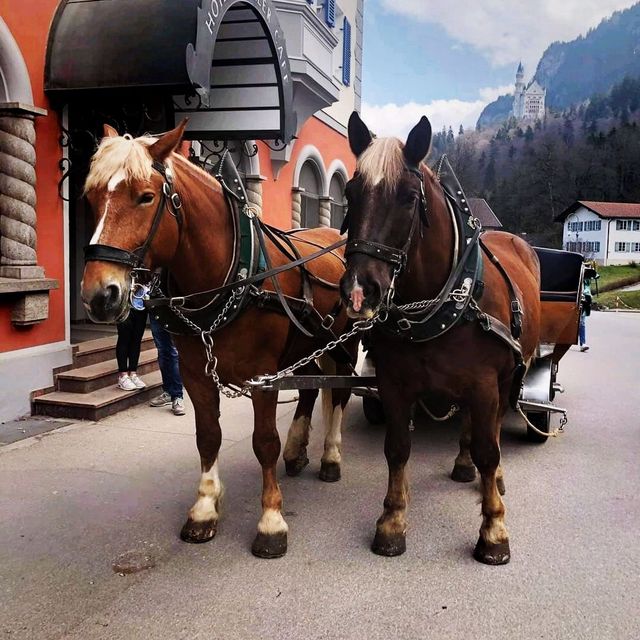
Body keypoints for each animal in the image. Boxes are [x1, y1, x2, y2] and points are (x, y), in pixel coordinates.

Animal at [80, 122, 356, 556]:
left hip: (344, 343)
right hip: (307, 344)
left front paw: (271, 520)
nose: (98, 295)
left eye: (145, 197)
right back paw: (298, 450)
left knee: (340, 392)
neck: (234, 274)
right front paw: (205, 508)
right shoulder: (195, 373)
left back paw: (330, 455)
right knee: (312, 390)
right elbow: (208, 437)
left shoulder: (263, 377)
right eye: (90, 198)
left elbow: (264, 442)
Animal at [340, 112, 540, 564]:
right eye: (350, 192)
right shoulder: (393, 384)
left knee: (494, 431)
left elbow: (489, 450)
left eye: (409, 198)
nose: (360, 290)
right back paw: (464, 463)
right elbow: (397, 448)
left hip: (507, 376)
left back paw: (492, 479)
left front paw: (494, 529)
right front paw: (392, 520)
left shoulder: (484, 383)